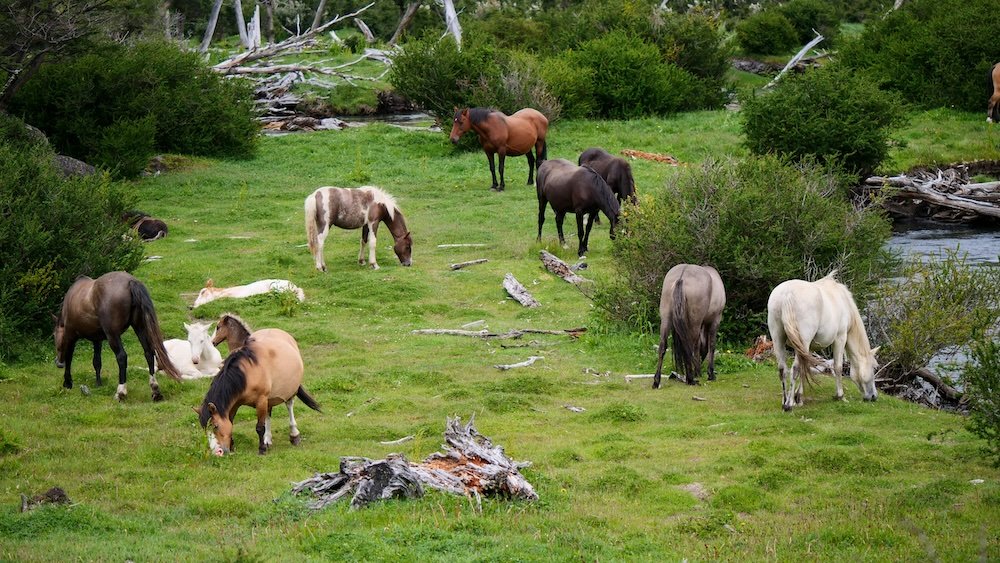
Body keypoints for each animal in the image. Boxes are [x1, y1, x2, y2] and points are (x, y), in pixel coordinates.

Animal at [52, 272, 183, 400]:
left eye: (54, 335)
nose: (58, 362)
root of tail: (131, 282)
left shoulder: (70, 336)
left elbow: (69, 358)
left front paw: (67, 383)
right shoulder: (97, 339)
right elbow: (97, 361)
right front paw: (98, 383)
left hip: (113, 335)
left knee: (122, 357)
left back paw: (121, 392)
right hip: (139, 327)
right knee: (149, 352)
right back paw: (155, 390)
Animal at [195, 328, 320, 456]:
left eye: (215, 426)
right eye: (204, 429)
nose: (217, 452)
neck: (246, 374)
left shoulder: (261, 400)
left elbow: (260, 427)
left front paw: (261, 449)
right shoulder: (235, 404)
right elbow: (231, 422)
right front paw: (233, 446)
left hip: (289, 389)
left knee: (289, 406)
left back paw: (294, 434)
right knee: (268, 413)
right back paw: (268, 439)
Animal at [768, 270, 880, 412]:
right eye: (875, 368)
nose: (873, 396)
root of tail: (788, 294)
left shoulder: (809, 347)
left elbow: (806, 367)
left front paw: (799, 397)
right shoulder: (840, 338)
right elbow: (837, 367)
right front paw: (840, 396)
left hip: (778, 339)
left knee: (782, 369)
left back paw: (785, 401)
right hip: (802, 341)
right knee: (795, 368)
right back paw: (788, 405)